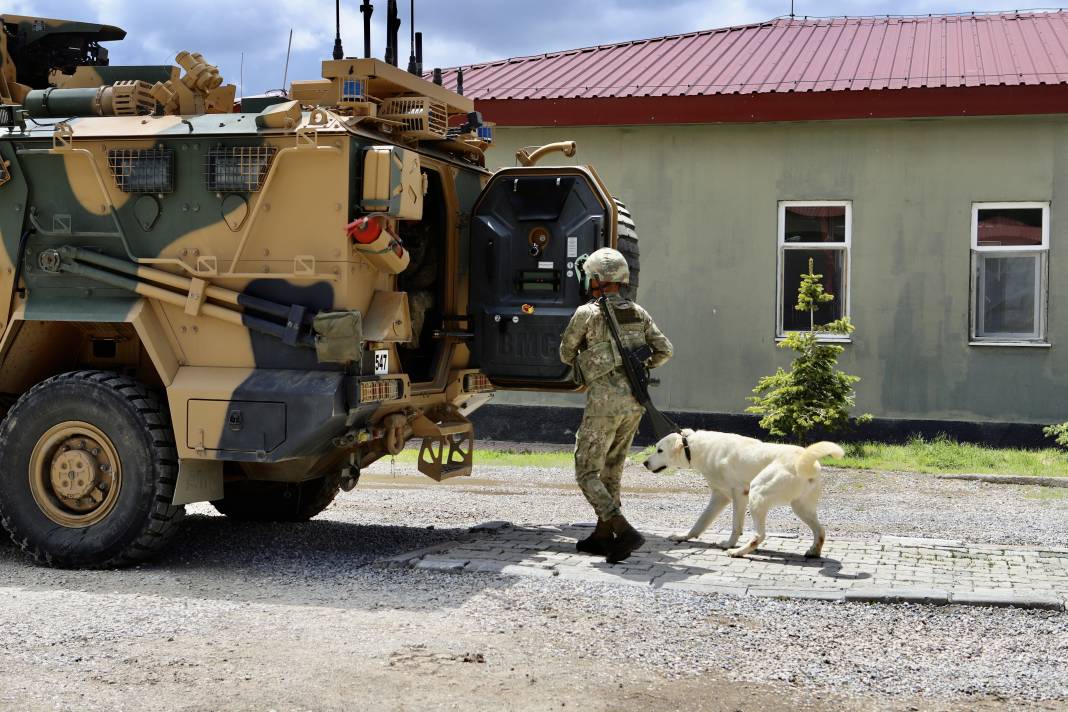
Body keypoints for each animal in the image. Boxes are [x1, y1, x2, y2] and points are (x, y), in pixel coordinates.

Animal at [640, 431, 841, 559]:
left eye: (659, 450)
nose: (644, 463)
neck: (697, 447)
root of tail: (806, 460)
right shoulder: (720, 496)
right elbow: (700, 522)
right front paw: (684, 536)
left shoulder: (739, 493)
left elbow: (736, 525)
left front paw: (730, 544)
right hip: (801, 507)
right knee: (820, 531)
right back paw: (814, 551)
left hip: (757, 492)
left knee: (760, 535)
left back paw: (739, 552)